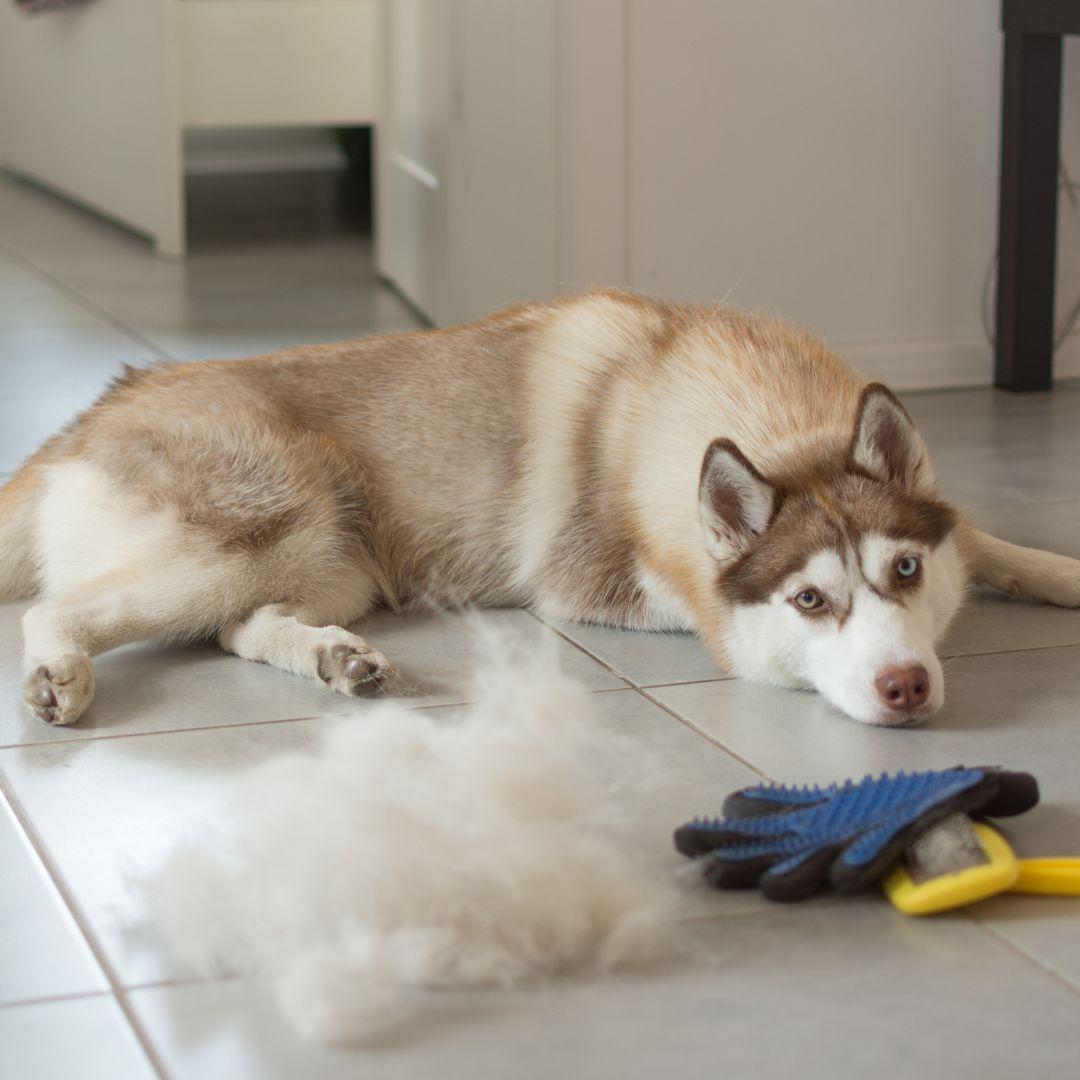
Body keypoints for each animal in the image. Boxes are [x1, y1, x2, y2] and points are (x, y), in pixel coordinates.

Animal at [2, 289, 1080, 725]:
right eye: (809, 602)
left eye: (905, 570)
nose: (906, 685)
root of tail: (91, 411)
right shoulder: (586, 582)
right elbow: (700, 608)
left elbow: (988, 538)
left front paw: (1056, 570)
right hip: (266, 525)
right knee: (60, 607)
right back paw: (59, 672)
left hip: (331, 560)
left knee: (234, 629)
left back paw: (336, 659)